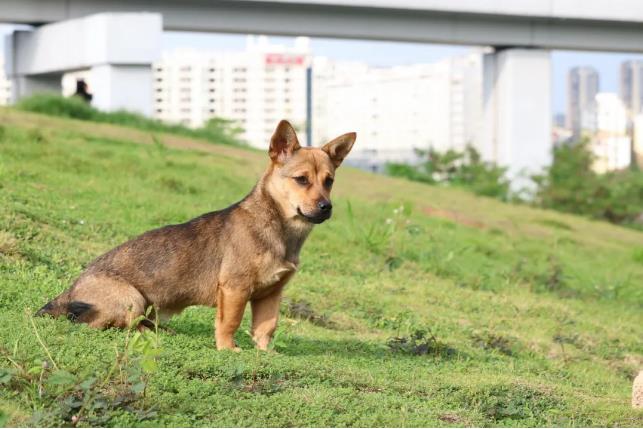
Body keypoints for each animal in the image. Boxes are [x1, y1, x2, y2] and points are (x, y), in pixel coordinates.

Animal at [36, 118, 358, 350]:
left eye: (329, 181)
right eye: (301, 180)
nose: (326, 207)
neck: (279, 227)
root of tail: (68, 291)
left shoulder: (271, 294)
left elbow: (266, 328)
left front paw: (265, 355)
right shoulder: (235, 289)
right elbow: (230, 322)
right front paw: (228, 350)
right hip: (131, 298)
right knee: (103, 324)